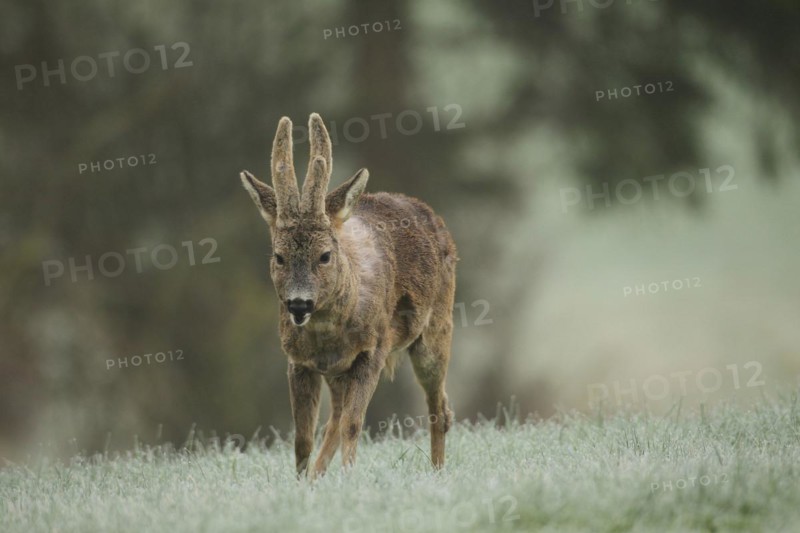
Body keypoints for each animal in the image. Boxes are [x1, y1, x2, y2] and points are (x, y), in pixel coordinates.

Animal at [239, 113, 457, 478]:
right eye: (279, 256)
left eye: (325, 255)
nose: (299, 303)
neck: (327, 333)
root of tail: (426, 210)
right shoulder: (298, 362)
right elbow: (303, 437)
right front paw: (302, 482)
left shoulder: (373, 351)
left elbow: (354, 425)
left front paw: (348, 476)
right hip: (338, 373)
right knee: (334, 418)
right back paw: (318, 475)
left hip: (436, 329)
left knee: (439, 406)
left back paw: (438, 471)